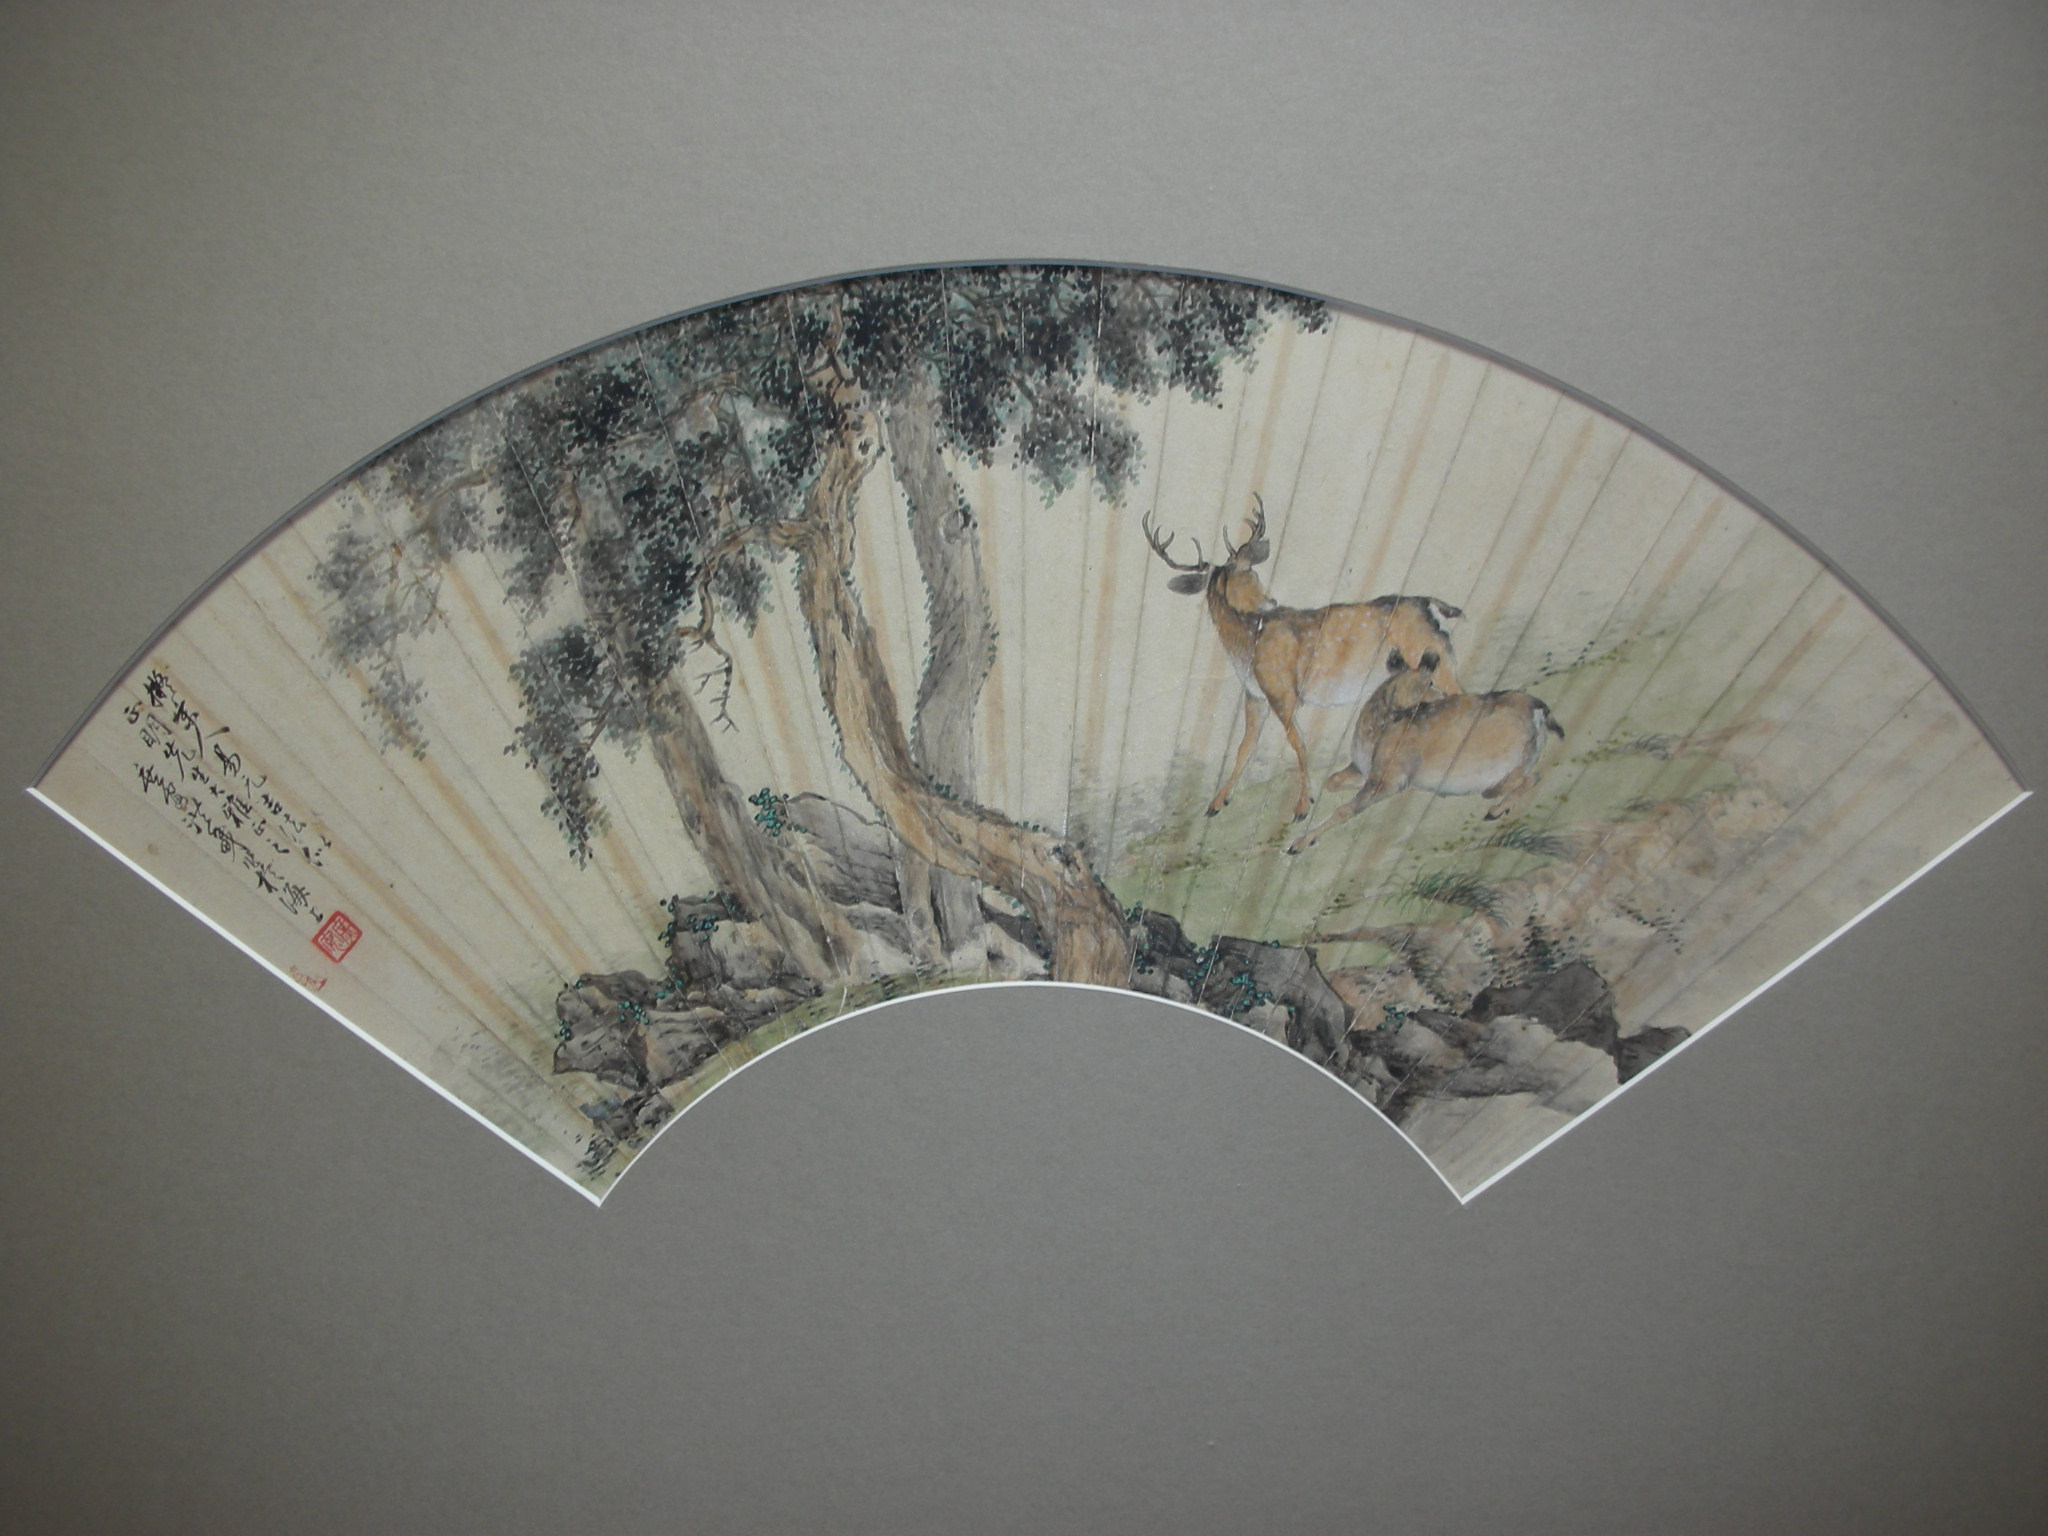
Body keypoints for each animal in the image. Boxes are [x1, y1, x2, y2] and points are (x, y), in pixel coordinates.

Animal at [1144, 496, 1464, 822]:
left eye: (1252, 571)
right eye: (1242, 575)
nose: (1271, 602)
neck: (1247, 643)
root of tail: (1434, 606)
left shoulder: (1283, 691)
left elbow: (1298, 742)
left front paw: (1301, 806)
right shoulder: (1255, 694)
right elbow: (1246, 746)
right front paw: (1216, 803)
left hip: (1431, 656)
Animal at [1287, 648, 1564, 854]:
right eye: (1429, 681)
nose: (1451, 696)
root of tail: (1539, 710)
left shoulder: (1388, 780)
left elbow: (1345, 809)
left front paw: (1299, 843)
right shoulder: (1366, 772)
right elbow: (1332, 782)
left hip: (1495, 777)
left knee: (1531, 777)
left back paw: (1496, 810)